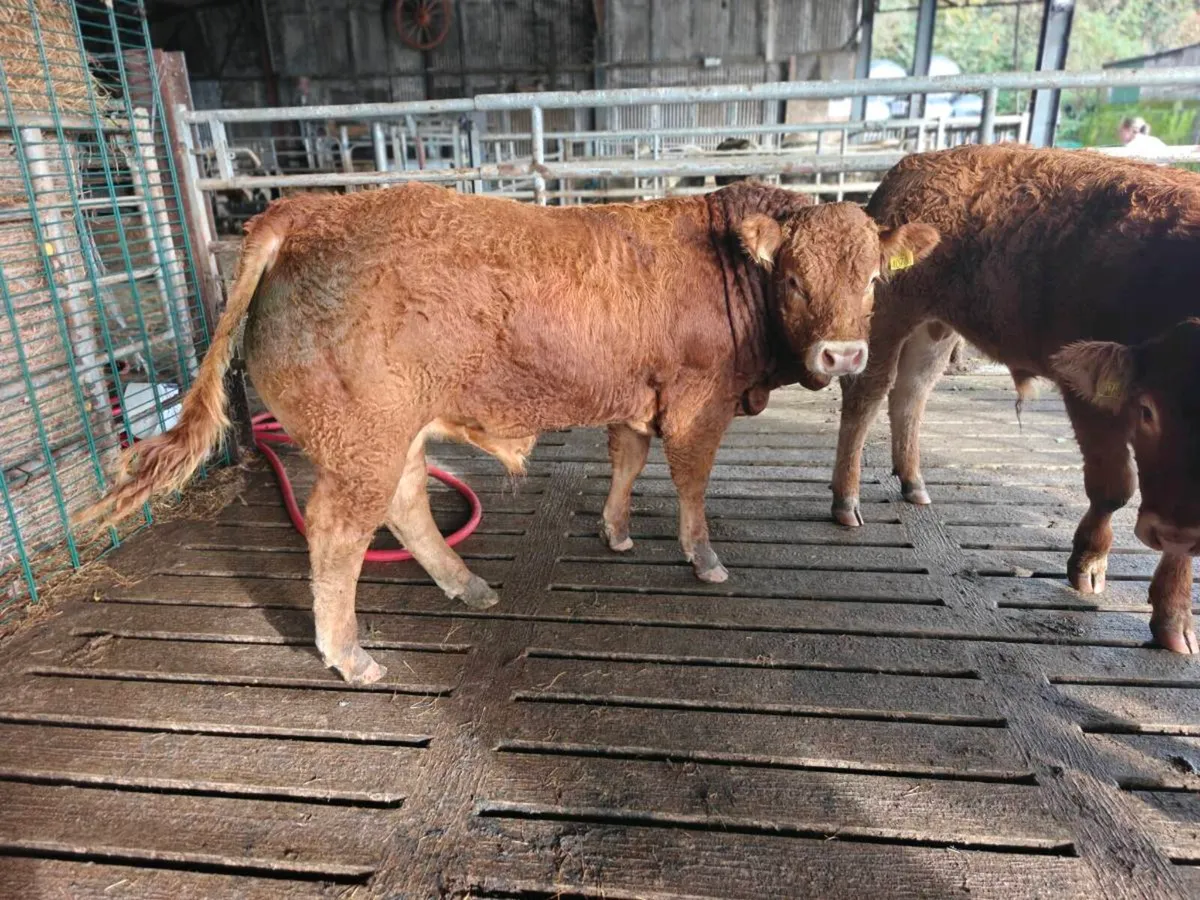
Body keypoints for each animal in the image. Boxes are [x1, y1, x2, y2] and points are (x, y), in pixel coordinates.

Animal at [78, 181, 937, 685]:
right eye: (791, 278)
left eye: (872, 277)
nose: (844, 354)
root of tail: (308, 208)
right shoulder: (699, 401)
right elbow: (691, 481)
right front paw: (703, 558)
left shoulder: (635, 397)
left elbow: (626, 460)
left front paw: (617, 532)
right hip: (362, 439)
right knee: (337, 531)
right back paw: (348, 653)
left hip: (394, 433)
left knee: (407, 507)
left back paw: (465, 585)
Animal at [829, 143, 1200, 654]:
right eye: (1148, 410)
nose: (1174, 530)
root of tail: (914, 164)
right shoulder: (1091, 398)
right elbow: (1113, 486)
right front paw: (1088, 566)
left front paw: (1175, 620)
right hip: (890, 315)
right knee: (867, 394)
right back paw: (846, 500)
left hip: (936, 328)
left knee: (910, 395)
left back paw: (913, 483)